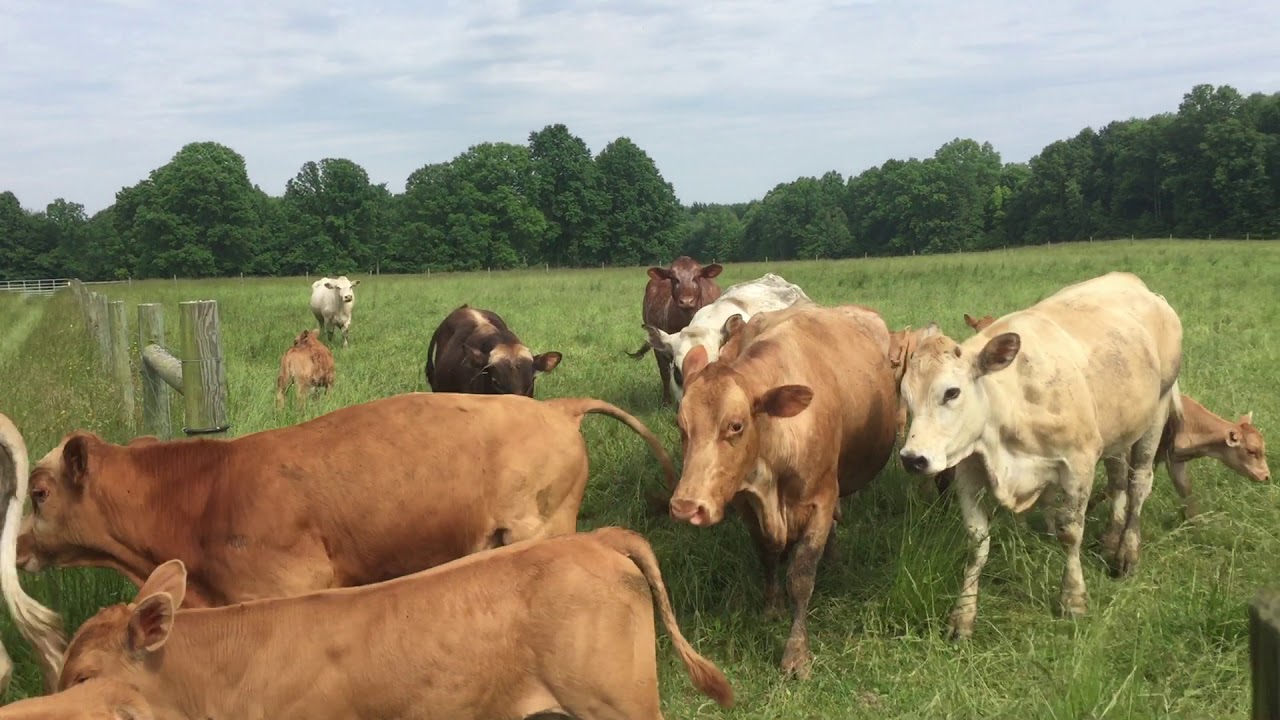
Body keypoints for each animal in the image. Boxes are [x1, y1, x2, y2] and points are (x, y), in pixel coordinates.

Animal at [667, 303, 898, 679]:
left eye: (736, 425)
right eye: (682, 426)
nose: (687, 506)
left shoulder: (821, 500)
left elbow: (802, 576)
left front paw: (796, 653)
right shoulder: (745, 504)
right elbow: (767, 555)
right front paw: (772, 606)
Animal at [897, 272, 1184, 640]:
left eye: (951, 392)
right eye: (905, 395)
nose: (912, 458)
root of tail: (1135, 283)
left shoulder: (1078, 463)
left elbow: (1070, 531)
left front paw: (1073, 600)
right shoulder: (968, 470)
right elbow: (977, 543)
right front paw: (963, 616)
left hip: (1157, 409)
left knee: (1138, 484)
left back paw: (1127, 553)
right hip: (1118, 429)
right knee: (1118, 479)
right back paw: (1110, 538)